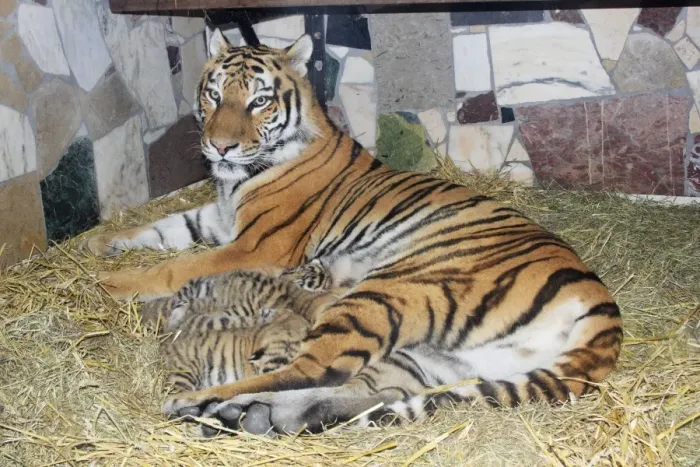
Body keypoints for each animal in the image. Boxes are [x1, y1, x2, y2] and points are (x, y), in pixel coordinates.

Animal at [81, 30, 623, 435]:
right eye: (214, 95)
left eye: (259, 102)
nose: (220, 146)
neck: (235, 179)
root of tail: (603, 312)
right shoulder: (217, 219)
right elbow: (158, 228)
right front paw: (93, 245)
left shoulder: (257, 244)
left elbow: (174, 266)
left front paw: (103, 284)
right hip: (442, 358)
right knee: (364, 389)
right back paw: (259, 416)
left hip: (391, 292)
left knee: (309, 369)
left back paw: (200, 402)